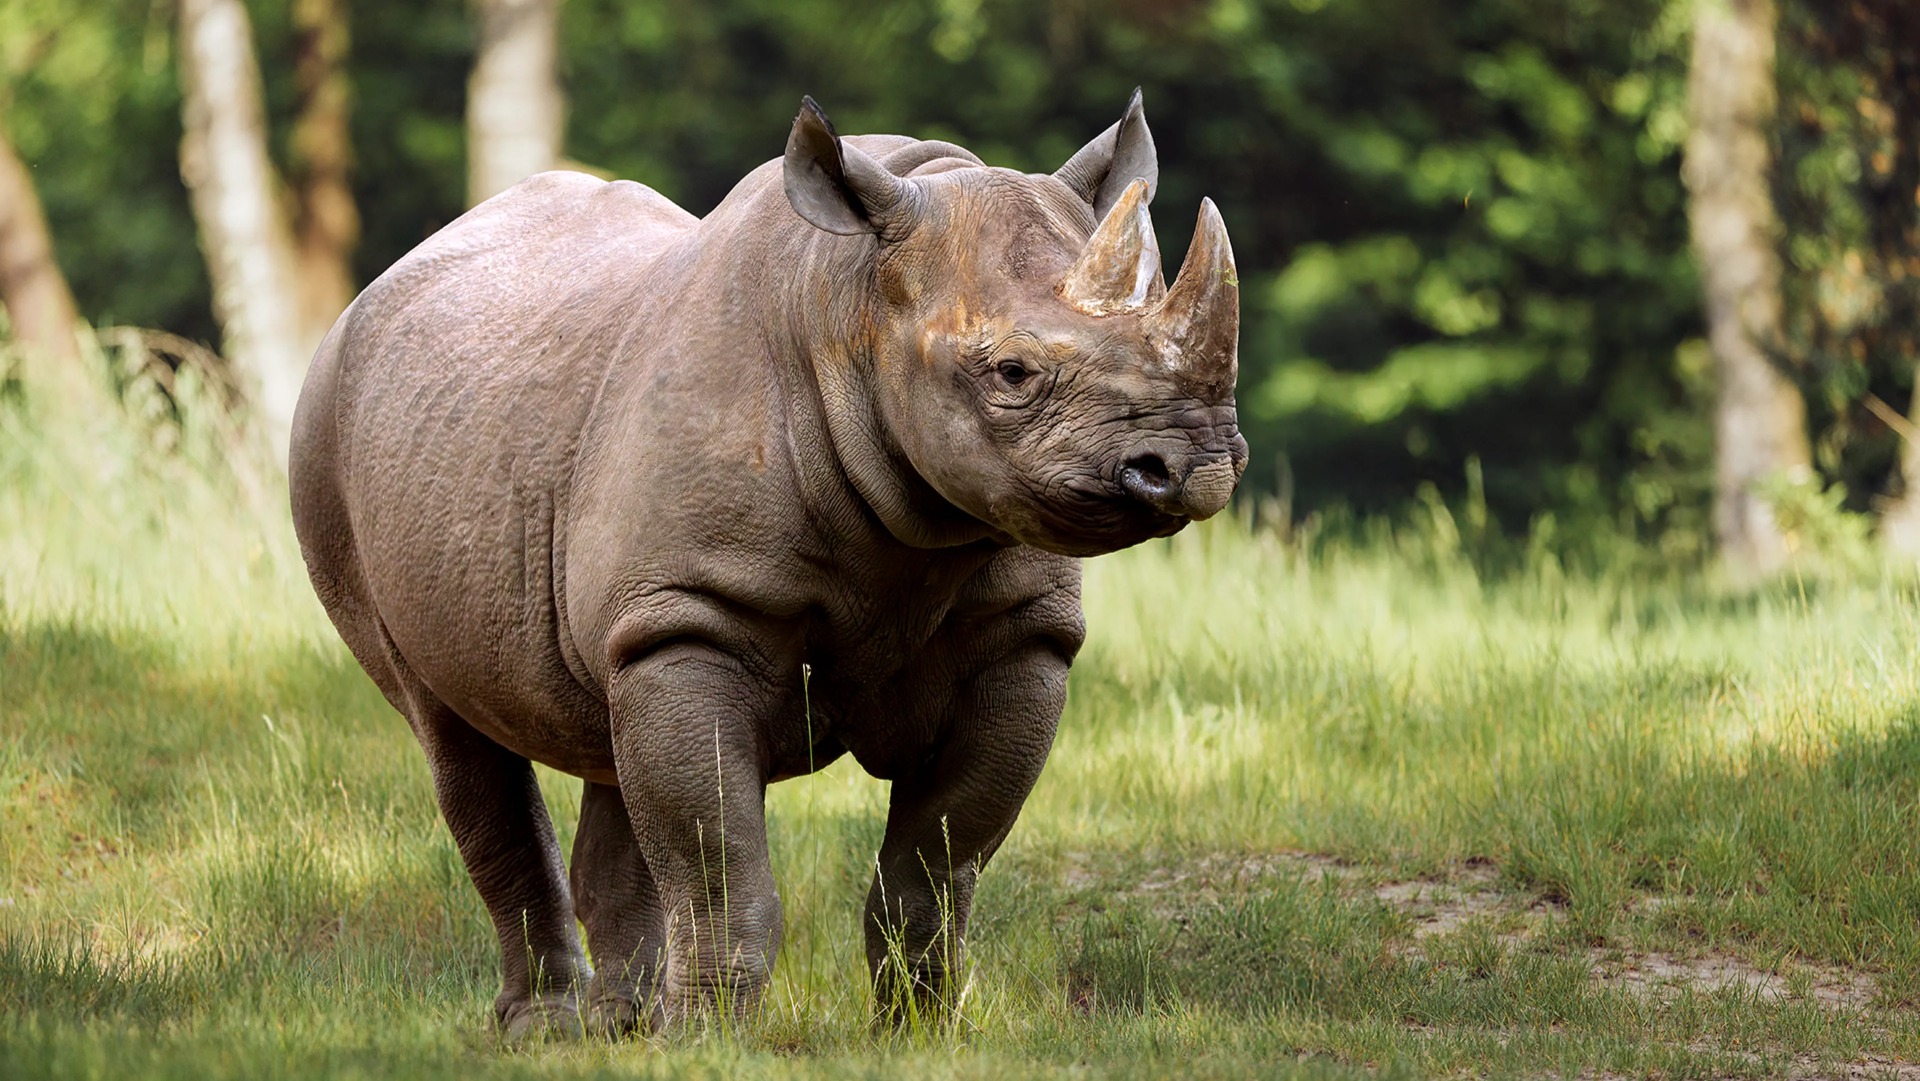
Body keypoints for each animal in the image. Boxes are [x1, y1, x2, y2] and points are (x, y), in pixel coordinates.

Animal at [289, 90, 1245, 1037]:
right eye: (1011, 372)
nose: (1193, 462)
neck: (853, 303)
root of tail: (369, 297)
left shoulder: (1021, 637)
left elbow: (938, 865)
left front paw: (918, 1033)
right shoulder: (694, 610)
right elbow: (718, 864)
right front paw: (707, 1040)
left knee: (610, 727)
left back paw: (623, 1023)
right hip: (327, 437)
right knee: (454, 732)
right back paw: (551, 1027)